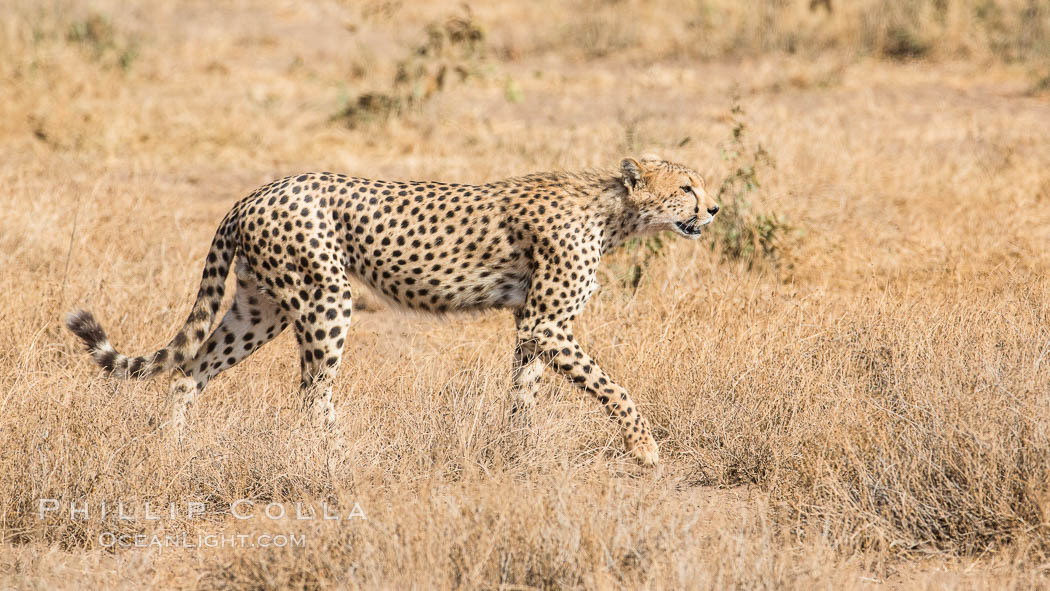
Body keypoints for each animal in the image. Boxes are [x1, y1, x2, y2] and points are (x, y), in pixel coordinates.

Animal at [65, 157, 718, 468]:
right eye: (686, 186)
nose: (713, 208)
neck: (613, 212)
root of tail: (256, 193)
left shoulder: (533, 326)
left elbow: (525, 389)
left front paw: (517, 449)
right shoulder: (544, 322)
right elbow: (613, 386)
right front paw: (645, 448)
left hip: (260, 308)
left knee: (189, 370)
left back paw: (175, 448)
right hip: (326, 298)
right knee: (313, 391)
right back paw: (340, 459)